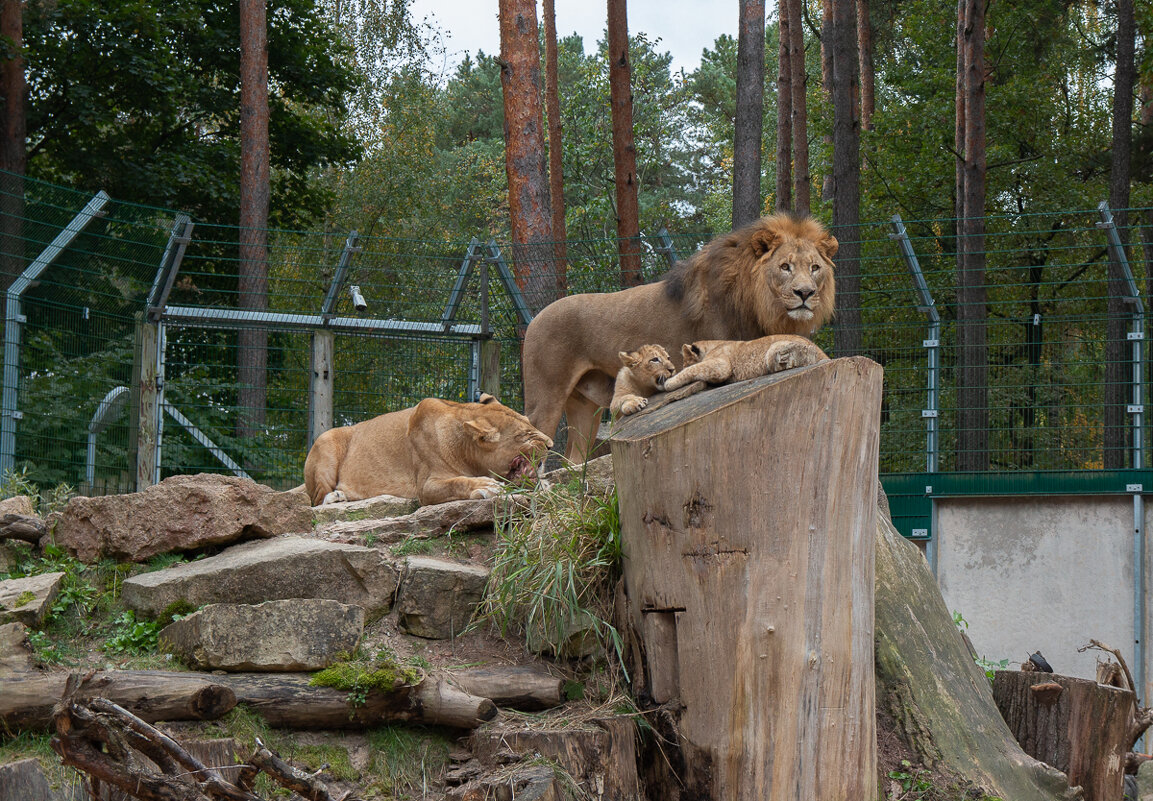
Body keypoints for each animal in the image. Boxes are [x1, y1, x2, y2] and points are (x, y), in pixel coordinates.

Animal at [302, 394, 553, 507]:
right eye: (525, 435)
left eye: (530, 424)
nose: (551, 444)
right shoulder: (425, 486)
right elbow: (457, 482)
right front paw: (485, 486)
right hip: (326, 441)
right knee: (316, 499)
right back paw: (336, 497)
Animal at [659, 334, 830, 396]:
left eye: (685, 363)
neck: (712, 346)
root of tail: (825, 355)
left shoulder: (721, 365)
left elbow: (693, 369)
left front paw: (668, 382)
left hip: (774, 351)